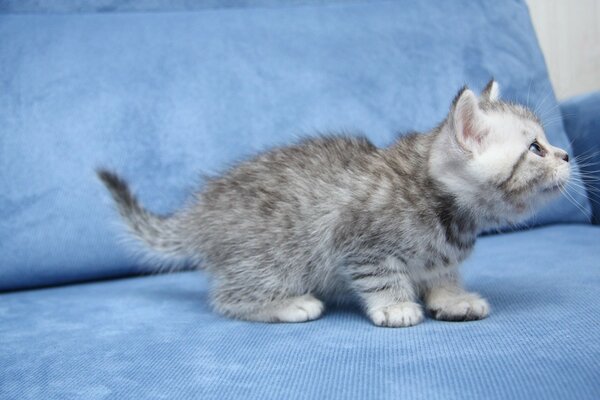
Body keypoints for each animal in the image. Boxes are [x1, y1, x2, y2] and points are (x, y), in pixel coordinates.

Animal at [97, 79, 568, 326]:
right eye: (535, 149)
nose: (566, 155)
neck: (445, 208)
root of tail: (203, 210)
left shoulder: (440, 253)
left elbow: (442, 272)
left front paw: (452, 298)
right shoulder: (361, 245)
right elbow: (382, 277)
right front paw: (396, 305)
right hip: (273, 255)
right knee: (228, 297)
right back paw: (286, 304)